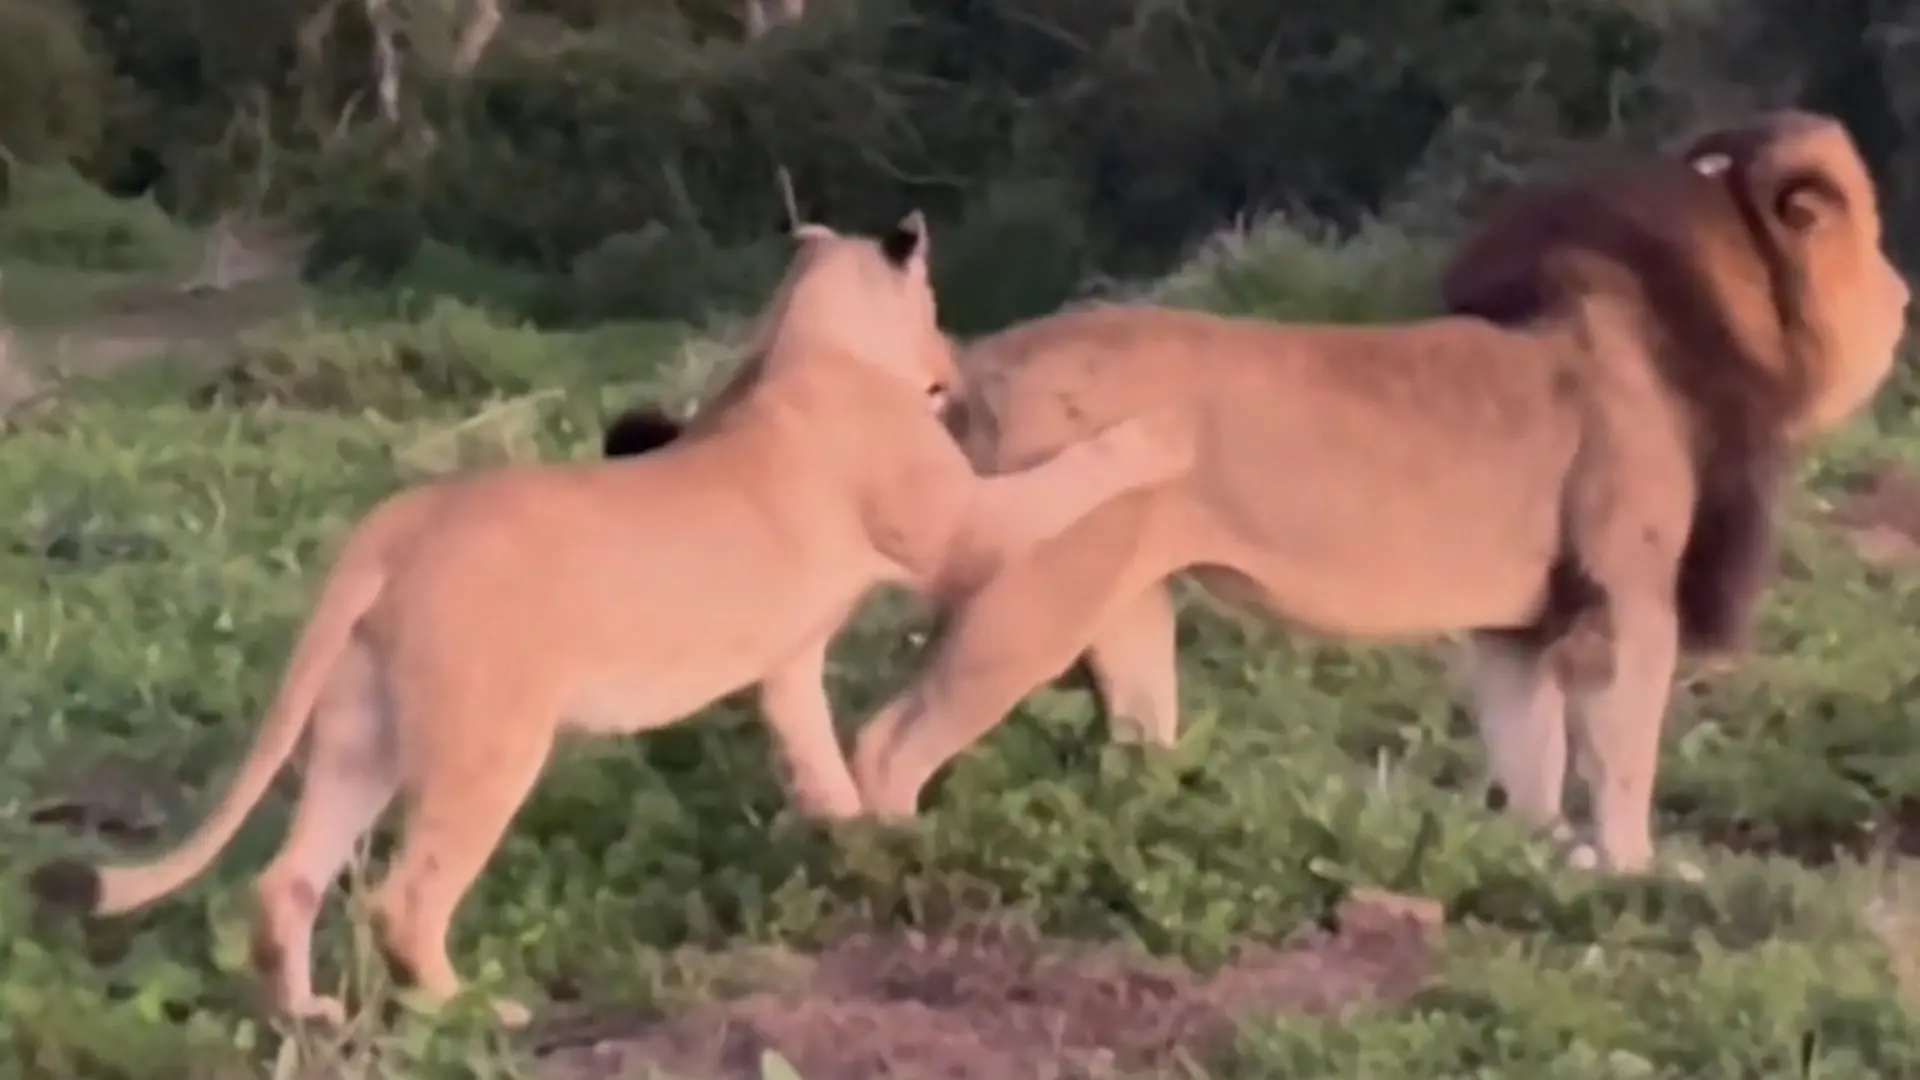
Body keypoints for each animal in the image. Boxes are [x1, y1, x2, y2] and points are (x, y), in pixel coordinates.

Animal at [28, 211, 1198, 1028]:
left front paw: (859, 849)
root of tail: (400, 519)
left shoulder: (787, 662)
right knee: (403, 897)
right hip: (490, 741)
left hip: (363, 732)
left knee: (286, 881)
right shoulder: (958, 529)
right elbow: (1068, 478)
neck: (802, 338)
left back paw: (308, 1015)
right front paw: (1157, 438)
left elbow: (817, 758)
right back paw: (475, 1009)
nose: (951, 369)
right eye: (936, 301)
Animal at [831, 109, 1907, 877]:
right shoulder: (1628, 599)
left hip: (1124, 597)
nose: (1907, 297)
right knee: (887, 743)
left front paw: (1539, 860)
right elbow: (1624, 752)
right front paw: (1633, 872)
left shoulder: (1519, 627)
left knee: (1132, 738)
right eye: (1872, 242)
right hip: (1038, 589)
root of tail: (971, 369)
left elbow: (1531, 751)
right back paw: (892, 861)